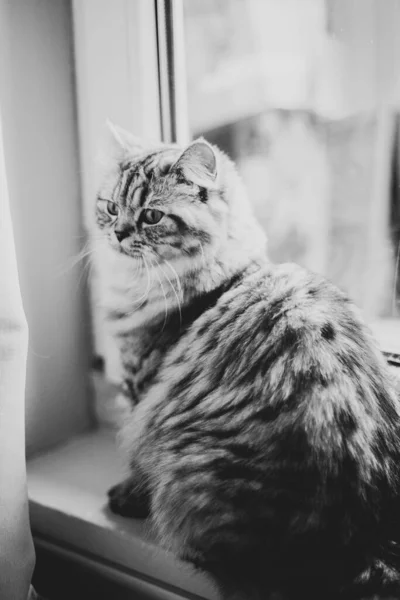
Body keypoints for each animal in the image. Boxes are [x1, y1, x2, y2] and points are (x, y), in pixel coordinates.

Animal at [93, 124, 400, 600]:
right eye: (110, 208)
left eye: (152, 216)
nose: (119, 234)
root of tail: (361, 542)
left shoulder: (145, 391)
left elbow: (138, 465)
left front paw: (126, 496)